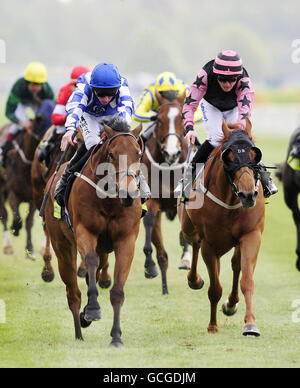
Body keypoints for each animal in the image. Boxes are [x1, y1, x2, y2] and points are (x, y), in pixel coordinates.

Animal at [43, 118, 144, 346]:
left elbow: (117, 291)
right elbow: (89, 261)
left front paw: (116, 337)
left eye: (138, 153)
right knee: (73, 293)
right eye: (111, 154)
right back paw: (80, 328)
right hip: (62, 247)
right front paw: (92, 311)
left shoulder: (126, 240)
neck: (109, 199)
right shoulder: (84, 232)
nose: (128, 193)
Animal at [178, 119, 264, 338]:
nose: (248, 195)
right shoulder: (210, 244)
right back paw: (194, 279)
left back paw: (231, 304)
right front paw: (212, 326)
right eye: (229, 157)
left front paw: (250, 324)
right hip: (189, 227)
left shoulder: (251, 235)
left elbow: (247, 279)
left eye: (254, 155)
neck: (231, 200)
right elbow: (215, 288)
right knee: (194, 243)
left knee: (235, 265)